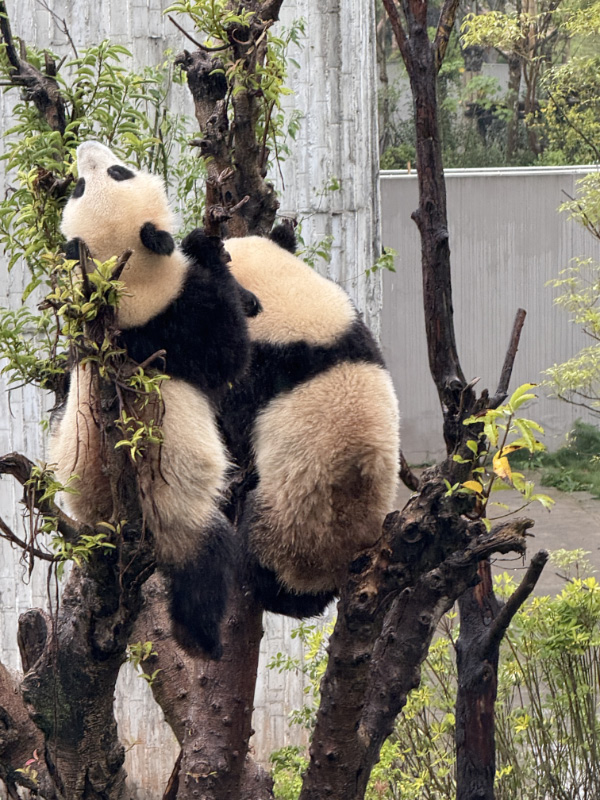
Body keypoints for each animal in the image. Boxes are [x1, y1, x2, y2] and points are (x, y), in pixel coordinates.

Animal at [50, 141, 251, 658]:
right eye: (84, 185)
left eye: (116, 172)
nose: (84, 146)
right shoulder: (173, 319)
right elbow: (228, 352)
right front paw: (206, 248)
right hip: (176, 513)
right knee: (207, 562)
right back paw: (202, 640)